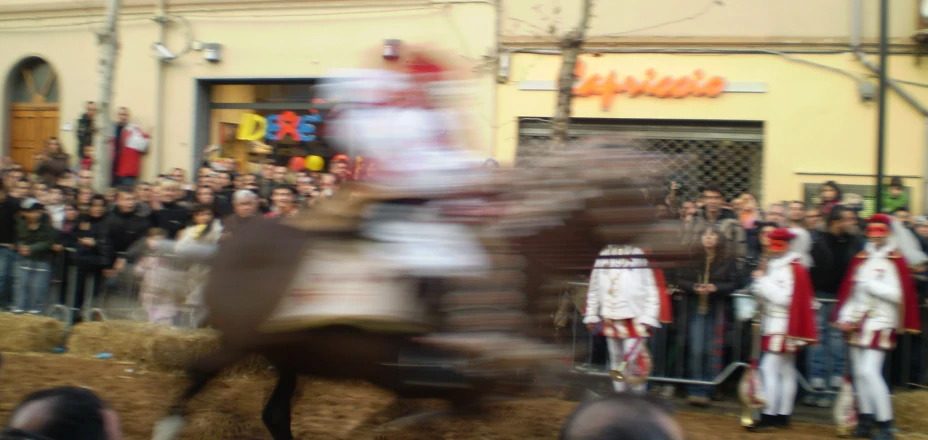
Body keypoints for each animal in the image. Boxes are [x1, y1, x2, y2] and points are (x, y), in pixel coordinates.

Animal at [150, 143, 688, 438]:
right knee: (200, 373)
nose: (679, 246)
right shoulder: (474, 379)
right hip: (243, 341)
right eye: (635, 195)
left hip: (289, 351)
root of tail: (227, 248)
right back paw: (166, 426)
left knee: (275, 413)